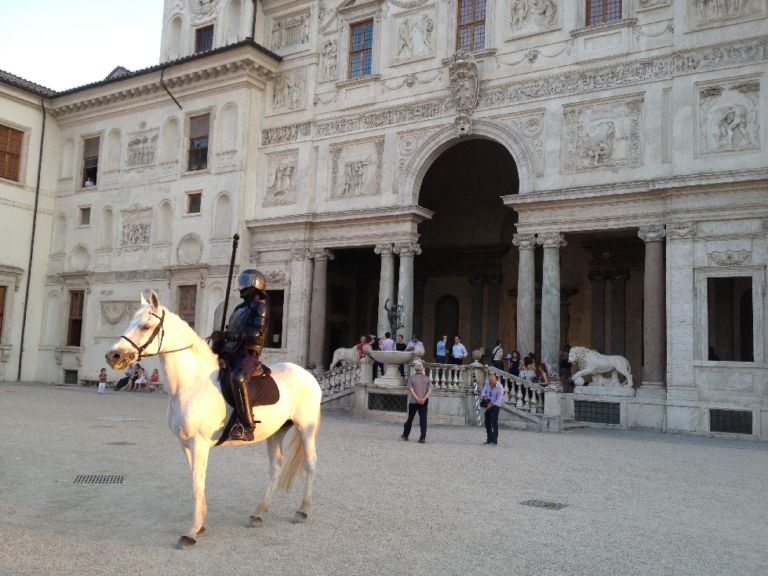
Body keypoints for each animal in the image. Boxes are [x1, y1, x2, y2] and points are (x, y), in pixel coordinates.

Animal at [106, 292, 320, 548]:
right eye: (130, 321)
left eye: (146, 325)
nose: (113, 356)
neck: (192, 383)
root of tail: (307, 373)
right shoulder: (185, 443)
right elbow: (196, 483)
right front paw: (200, 526)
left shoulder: (199, 444)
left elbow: (198, 483)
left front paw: (191, 532)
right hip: (276, 432)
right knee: (276, 467)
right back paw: (258, 513)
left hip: (305, 427)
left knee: (310, 463)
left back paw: (303, 510)